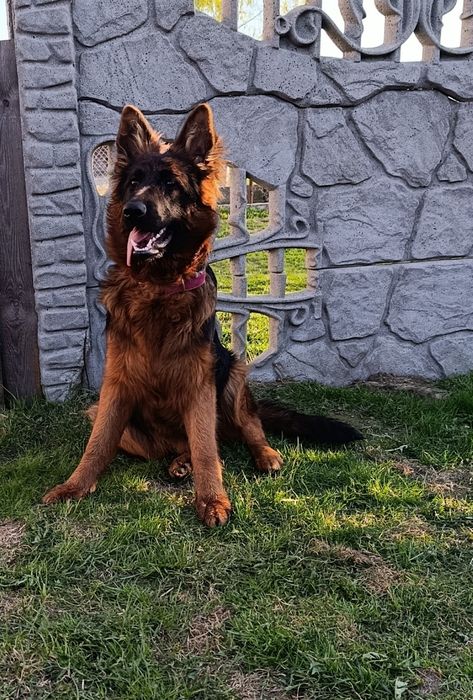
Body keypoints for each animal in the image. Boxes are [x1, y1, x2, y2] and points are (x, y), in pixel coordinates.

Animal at [42, 103, 362, 526]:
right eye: (134, 182)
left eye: (170, 185)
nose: (132, 211)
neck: (159, 288)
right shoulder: (115, 386)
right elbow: (97, 445)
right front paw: (74, 486)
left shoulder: (200, 384)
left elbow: (209, 452)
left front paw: (212, 499)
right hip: (113, 416)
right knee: (187, 444)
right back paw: (180, 461)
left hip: (232, 376)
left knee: (245, 428)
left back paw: (264, 455)